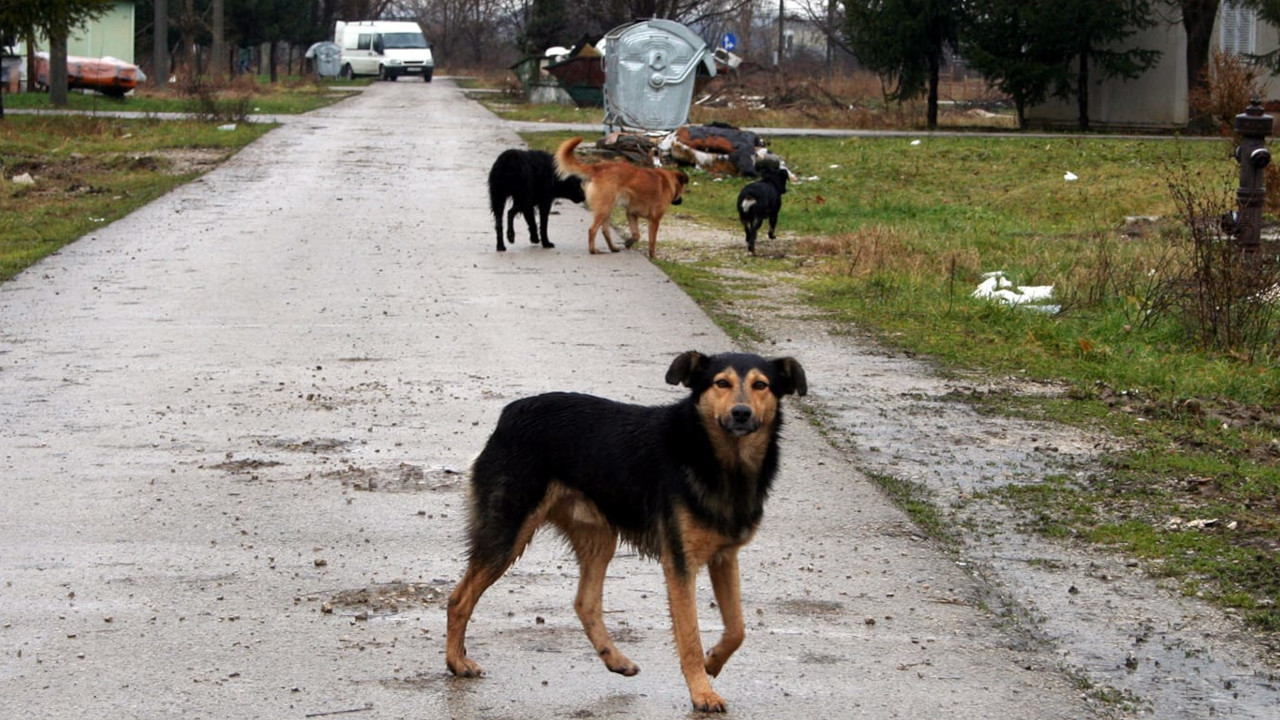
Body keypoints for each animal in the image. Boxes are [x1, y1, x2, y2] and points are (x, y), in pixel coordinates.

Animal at [445, 351, 803, 707]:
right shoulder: (680, 563)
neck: (715, 457)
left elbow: (737, 627)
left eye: (761, 385)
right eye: (721, 383)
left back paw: (615, 659)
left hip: (598, 538)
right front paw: (702, 692)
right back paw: (456, 663)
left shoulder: (724, 558)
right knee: (459, 599)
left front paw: (712, 662)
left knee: (585, 603)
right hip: (508, 533)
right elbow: (690, 637)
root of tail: (509, 414)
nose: (741, 413)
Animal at [552, 134, 691, 257]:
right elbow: (652, 241)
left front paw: (628, 243)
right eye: (682, 190)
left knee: (605, 230)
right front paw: (653, 256)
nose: (681, 201)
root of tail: (598, 167)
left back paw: (613, 248)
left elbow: (636, 235)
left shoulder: (631, 213)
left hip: (606, 209)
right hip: (604, 209)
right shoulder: (654, 220)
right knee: (592, 230)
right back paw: (593, 250)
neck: (668, 181)